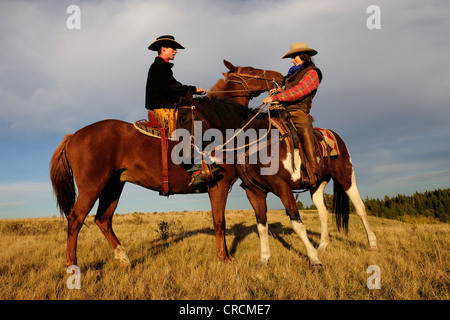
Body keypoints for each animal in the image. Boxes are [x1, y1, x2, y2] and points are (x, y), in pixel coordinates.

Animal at [49, 60, 282, 268]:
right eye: (250, 69)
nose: (278, 77)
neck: (220, 126)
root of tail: (74, 136)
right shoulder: (219, 185)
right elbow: (219, 222)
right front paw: (224, 259)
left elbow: (219, 221)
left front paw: (226, 256)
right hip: (92, 186)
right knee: (75, 219)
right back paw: (72, 266)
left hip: (113, 185)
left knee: (103, 219)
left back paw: (124, 259)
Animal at [178, 98, 378, 270]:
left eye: (184, 118)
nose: (180, 154)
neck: (255, 142)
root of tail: (335, 137)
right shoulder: (254, 191)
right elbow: (261, 226)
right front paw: (264, 260)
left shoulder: (282, 187)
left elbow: (296, 223)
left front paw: (314, 260)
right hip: (317, 185)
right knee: (323, 212)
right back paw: (322, 246)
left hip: (346, 176)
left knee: (359, 207)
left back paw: (372, 244)